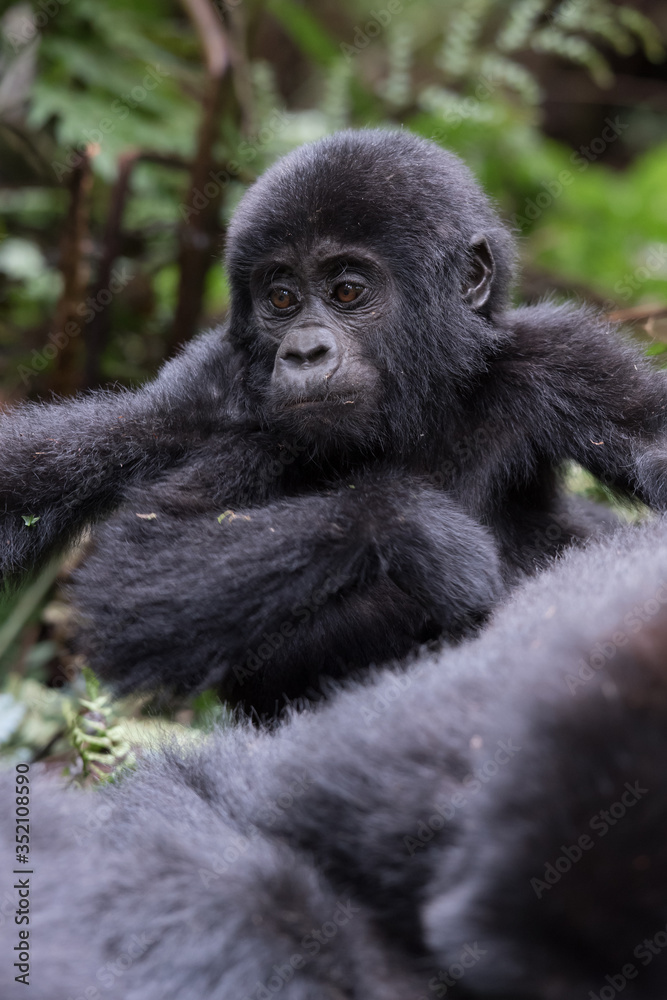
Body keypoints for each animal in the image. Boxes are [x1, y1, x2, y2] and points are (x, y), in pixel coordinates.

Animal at [2, 129, 667, 716]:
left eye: (347, 291)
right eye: (281, 298)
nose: (303, 353)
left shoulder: (567, 357)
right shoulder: (219, 412)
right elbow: (137, 561)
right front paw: (413, 527)